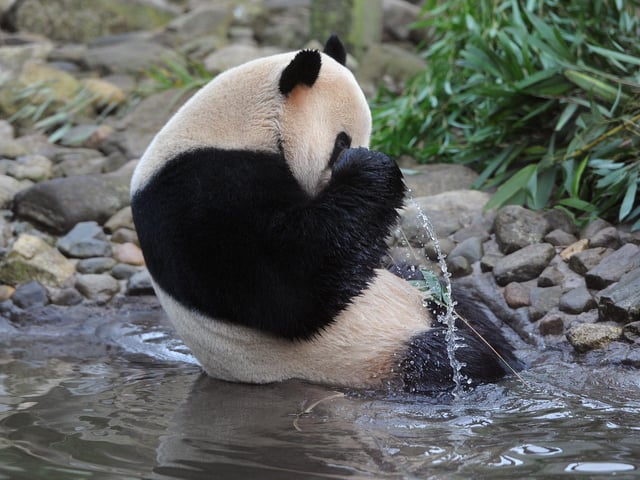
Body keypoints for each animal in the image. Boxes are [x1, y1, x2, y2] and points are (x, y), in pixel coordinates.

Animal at [130, 35, 521, 395]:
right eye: (341, 142)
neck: (237, 126)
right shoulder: (199, 194)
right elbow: (289, 286)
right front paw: (373, 171)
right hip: (358, 357)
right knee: (440, 358)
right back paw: (478, 358)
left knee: (452, 302)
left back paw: (498, 344)